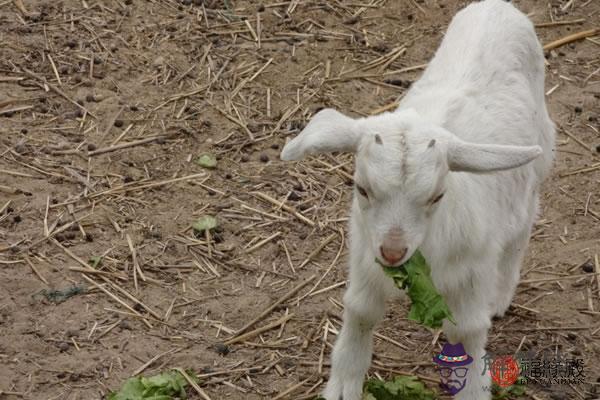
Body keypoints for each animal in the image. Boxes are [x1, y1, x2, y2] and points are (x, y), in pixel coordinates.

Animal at [280, 0, 552, 400]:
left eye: (437, 196)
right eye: (362, 189)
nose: (393, 252)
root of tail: (496, 6)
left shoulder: (472, 271)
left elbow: (467, 331)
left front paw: (472, 388)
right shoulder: (364, 253)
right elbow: (360, 309)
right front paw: (344, 384)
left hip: (538, 159)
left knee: (523, 224)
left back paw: (501, 295)